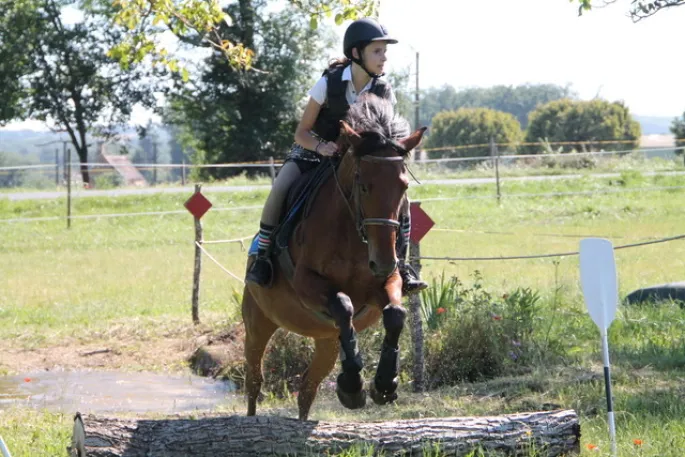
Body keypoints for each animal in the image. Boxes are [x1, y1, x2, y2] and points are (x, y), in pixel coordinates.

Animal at [240, 93, 422, 420]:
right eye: (362, 183)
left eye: (404, 185)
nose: (382, 260)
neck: (351, 233)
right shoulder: (307, 284)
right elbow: (342, 304)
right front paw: (352, 385)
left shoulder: (385, 282)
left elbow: (395, 313)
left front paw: (383, 385)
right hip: (258, 321)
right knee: (254, 379)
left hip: (325, 341)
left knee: (308, 388)